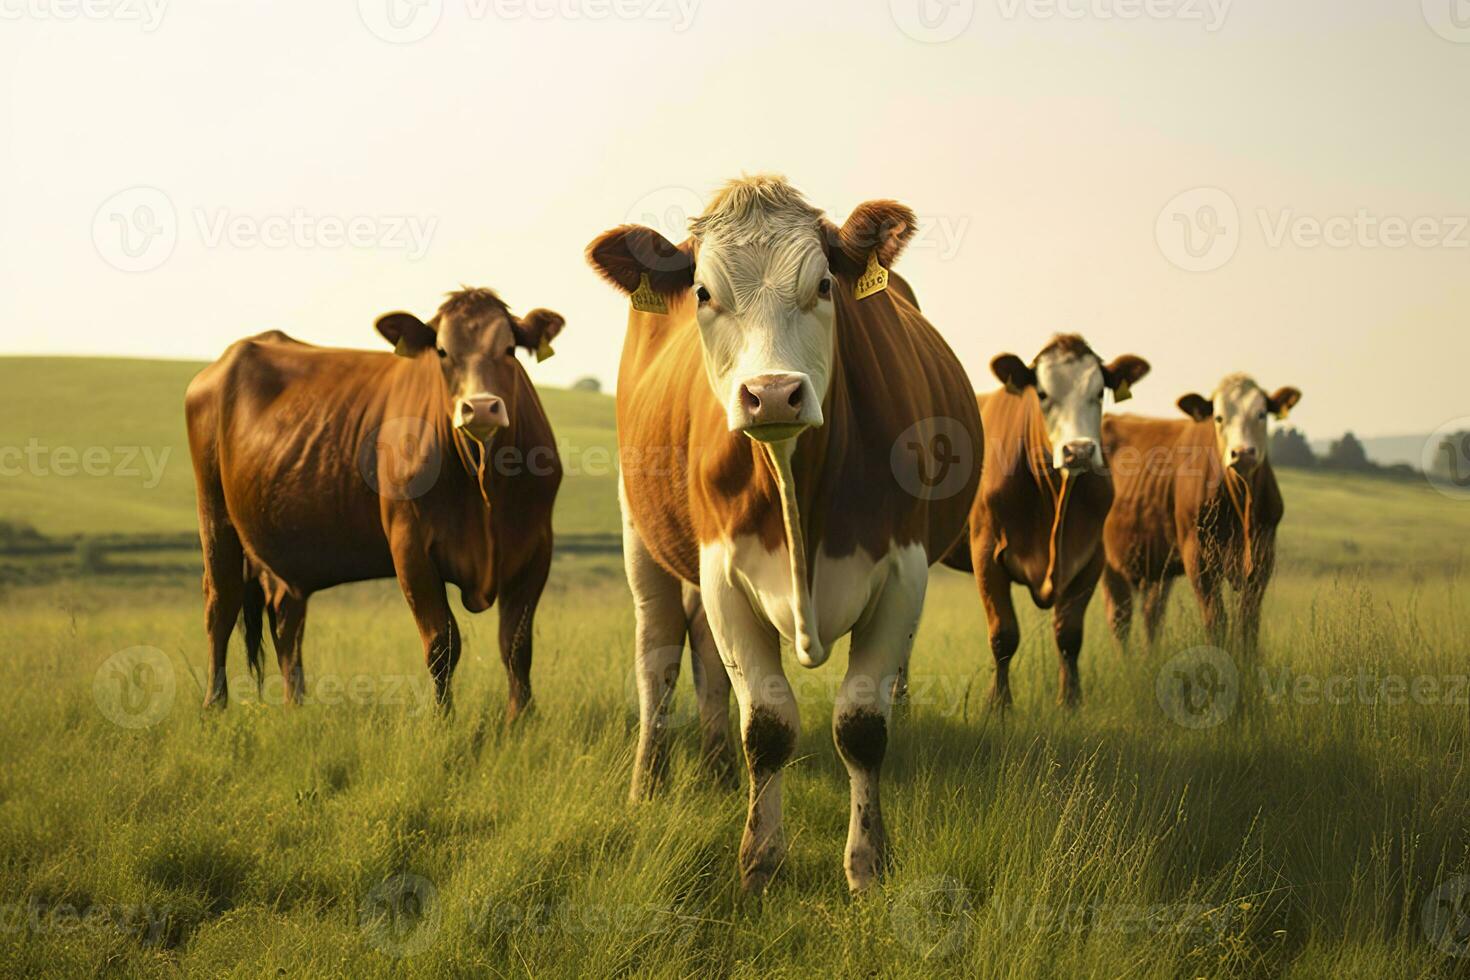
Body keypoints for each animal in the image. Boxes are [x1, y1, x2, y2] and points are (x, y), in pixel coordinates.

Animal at [186, 287, 564, 717]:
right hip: (215, 517)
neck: (483, 480)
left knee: (286, 619)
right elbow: (442, 644)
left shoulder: (535, 547)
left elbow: (516, 645)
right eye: (442, 351)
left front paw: (521, 719)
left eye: (509, 349)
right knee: (221, 604)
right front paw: (443, 720)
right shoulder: (411, 547)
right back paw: (215, 705)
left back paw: (295, 707)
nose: (481, 407)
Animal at [579, 174, 981, 899]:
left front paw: (867, 864)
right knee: (658, 657)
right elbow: (766, 726)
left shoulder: (903, 572)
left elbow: (862, 726)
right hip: (638, 538)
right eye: (703, 293)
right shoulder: (722, 572)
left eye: (824, 286)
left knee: (707, 663)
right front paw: (761, 863)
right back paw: (649, 785)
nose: (771, 394)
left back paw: (715, 771)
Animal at [940, 334, 1146, 705]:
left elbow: (1069, 635)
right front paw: (999, 705)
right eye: (1043, 394)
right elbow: (1003, 635)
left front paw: (1071, 703)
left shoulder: (1090, 557)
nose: (1079, 451)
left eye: (1099, 392)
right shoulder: (986, 552)